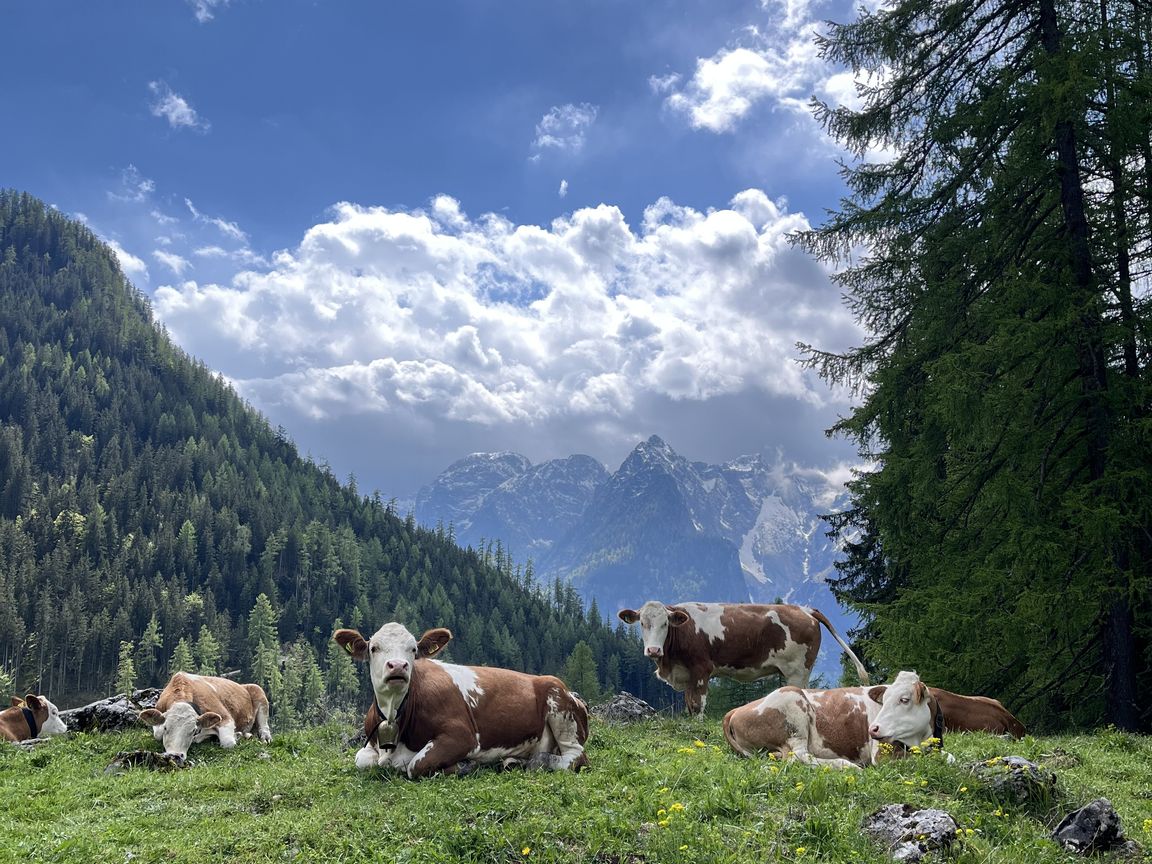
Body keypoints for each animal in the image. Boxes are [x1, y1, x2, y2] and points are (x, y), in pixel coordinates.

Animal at [138, 672, 272, 760]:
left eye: (193, 730)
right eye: (166, 727)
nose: (175, 756)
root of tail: (243, 685)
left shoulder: (225, 717)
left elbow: (228, 742)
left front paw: (235, 735)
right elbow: (157, 734)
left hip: (259, 692)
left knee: (264, 727)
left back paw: (262, 737)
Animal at [334, 622, 589, 779]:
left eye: (413, 649)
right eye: (374, 648)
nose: (398, 665)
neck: (394, 714)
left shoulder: (462, 736)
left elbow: (415, 765)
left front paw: (465, 765)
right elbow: (361, 760)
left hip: (560, 708)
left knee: (576, 757)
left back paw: (538, 761)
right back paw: (514, 762)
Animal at [617, 601, 869, 716]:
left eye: (665, 624)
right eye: (642, 623)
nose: (653, 650)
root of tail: (804, 609)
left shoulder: (701, 669)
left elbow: (698, 705)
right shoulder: (687, 674)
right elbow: (689, 704)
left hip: (797, 671)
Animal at [723, 670, 944, 768]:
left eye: (904, 699)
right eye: (885, 699)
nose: (873, 729)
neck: (919, 738)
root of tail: (735, 710)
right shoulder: (883, 755)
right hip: (793, 707)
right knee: (798, 756)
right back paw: (846, 765)